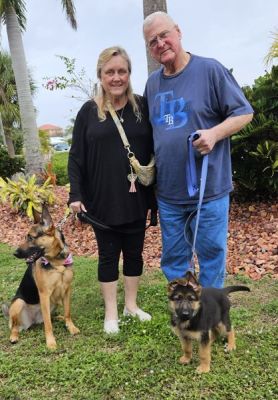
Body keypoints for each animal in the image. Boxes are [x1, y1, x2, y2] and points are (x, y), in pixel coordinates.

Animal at [2, 205, 80, 348]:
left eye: (31, 238)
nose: (15, 253)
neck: (57, 262)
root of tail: (33, 321)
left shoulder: (67, 290)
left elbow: (67, 312)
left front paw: (70, 326)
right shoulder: (44, 294)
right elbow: (48, 324)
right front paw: (51, 342)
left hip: (54, 303)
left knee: (50, 317)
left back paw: (60, 318)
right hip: (18, 303)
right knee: (16, 326)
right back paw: (14, 336)